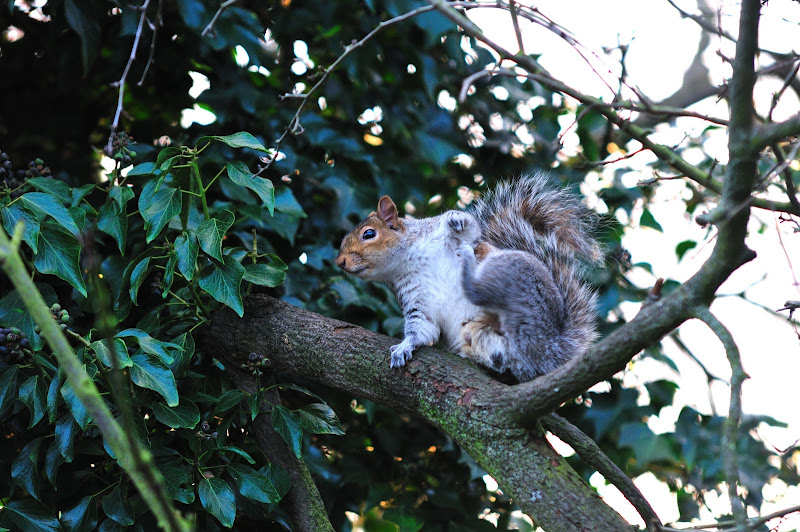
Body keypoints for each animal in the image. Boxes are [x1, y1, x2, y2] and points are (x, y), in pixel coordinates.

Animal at [335, 173, 601, 381]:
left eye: (369, 234)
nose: (340, 262)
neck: (409, 260)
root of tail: (556, 349)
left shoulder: (447, 235)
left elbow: (470, 229)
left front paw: (456, 218)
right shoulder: (415, 299)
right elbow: (421, 329)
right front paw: (403, 347)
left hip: (518, 279)